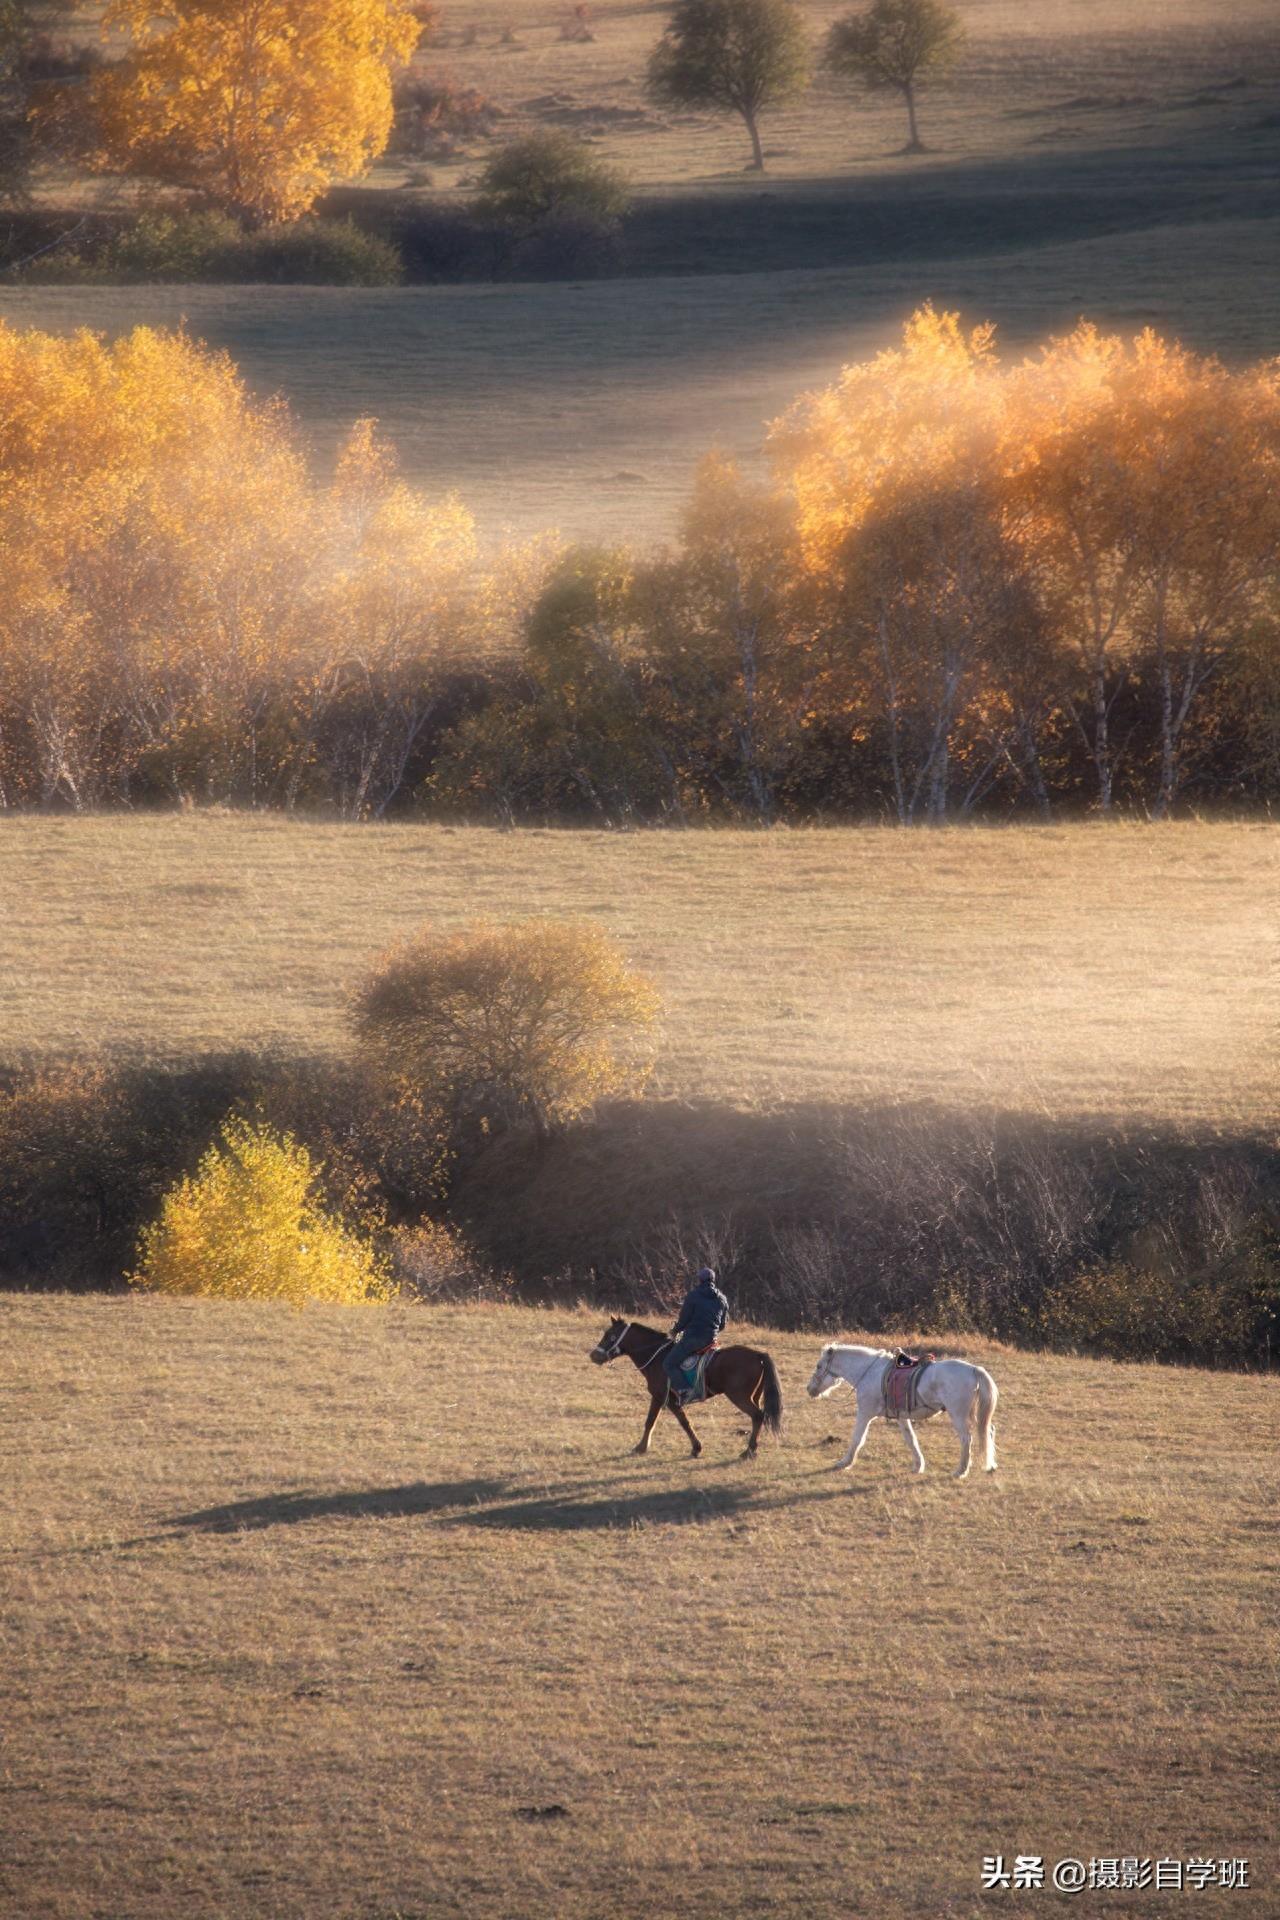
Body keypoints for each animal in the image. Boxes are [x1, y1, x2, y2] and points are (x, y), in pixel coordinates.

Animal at [587, 1320, 782, 1451]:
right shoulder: (660, 1397)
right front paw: (642, 1447)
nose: (594, 1355)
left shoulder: (665, 1398)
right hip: (754, 1396)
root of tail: (757, 1354)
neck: (657, 1356)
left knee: (758, 1415)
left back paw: (749, 1451)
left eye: (610, 1335)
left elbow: (679, 1422)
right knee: (758, 1418)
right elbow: (653, 1421)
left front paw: (696, 1448)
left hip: (739, 1396)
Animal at [802, 1344, 997, 1474]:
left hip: (958, 1415)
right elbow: (911, 1440)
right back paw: (990, 1465)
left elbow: (857, 1438)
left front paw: (845, 1462)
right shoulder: (902, 1417)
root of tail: (974, 1369)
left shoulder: (865, 1413)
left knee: (966, 1439)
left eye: (819, 1366)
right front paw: (918, 1466)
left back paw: (961, 1471)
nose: (809, 1389)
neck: (870, 1372)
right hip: (973, 1414)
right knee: (987, 1431)